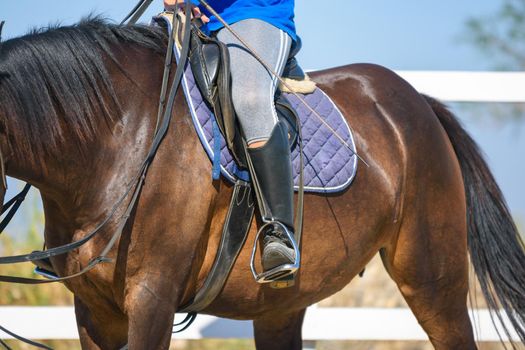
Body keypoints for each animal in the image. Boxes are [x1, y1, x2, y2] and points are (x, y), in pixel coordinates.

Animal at [1, 18, 524, 350]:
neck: (119, 134)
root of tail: (416, 100)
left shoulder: (151, 298)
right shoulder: (93, 311)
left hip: (433, 280)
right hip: (282, 306)